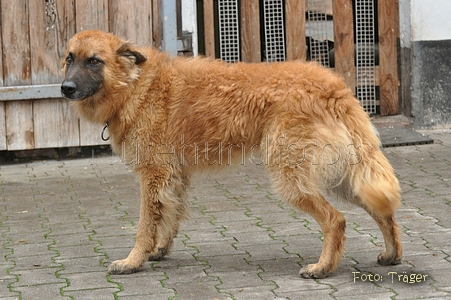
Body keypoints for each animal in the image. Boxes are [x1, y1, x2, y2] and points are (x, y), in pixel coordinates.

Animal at [60, 29, 402, 278]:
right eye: (69, 59)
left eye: (94, 61)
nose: (65, 88)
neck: (136, 83)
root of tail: (333, 88)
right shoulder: (173, 177)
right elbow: (168, 217)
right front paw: (159, 250)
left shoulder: (153, 175)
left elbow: (145, 225)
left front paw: (133, 261)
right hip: (345, 176)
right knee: (383, 212)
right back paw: (391, 254)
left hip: (294, 180)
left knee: (336, 220)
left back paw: (323, 268)